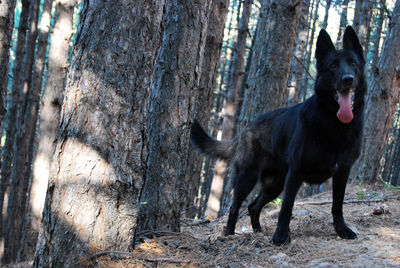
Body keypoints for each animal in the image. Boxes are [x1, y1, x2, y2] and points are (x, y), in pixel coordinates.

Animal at [191, 26, 366, 246]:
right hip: (248, 178)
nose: (348, 79)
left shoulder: (342, 172)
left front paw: (342, 230)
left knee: (253, 207)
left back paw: (258, 231)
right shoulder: (296, 174)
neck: (334, 125)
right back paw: (229, 234)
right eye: (333, 66)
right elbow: (286, 208)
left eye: (353, 63)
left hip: (274, 185)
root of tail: (247, 128)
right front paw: (281, 236)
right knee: (234, 207)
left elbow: (337, 206)